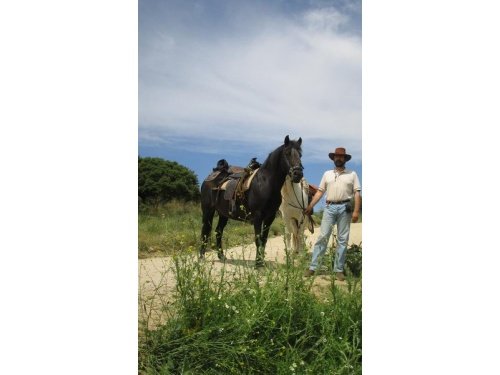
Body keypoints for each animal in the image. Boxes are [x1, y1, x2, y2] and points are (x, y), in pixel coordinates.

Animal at [200, 135, 304, 268]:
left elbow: (264, 239)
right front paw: (258, 264)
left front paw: (261, 262)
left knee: (218, 231)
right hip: (208, 210)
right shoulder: (258, 217)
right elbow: (258, 239)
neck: (265, 183)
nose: (298, 174)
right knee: (205, 231)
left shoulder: (270, 217)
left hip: (223, 214)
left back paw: (222, 256)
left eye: (300, 154)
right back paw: (201, 257)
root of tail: (210, 177)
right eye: (287, 153)